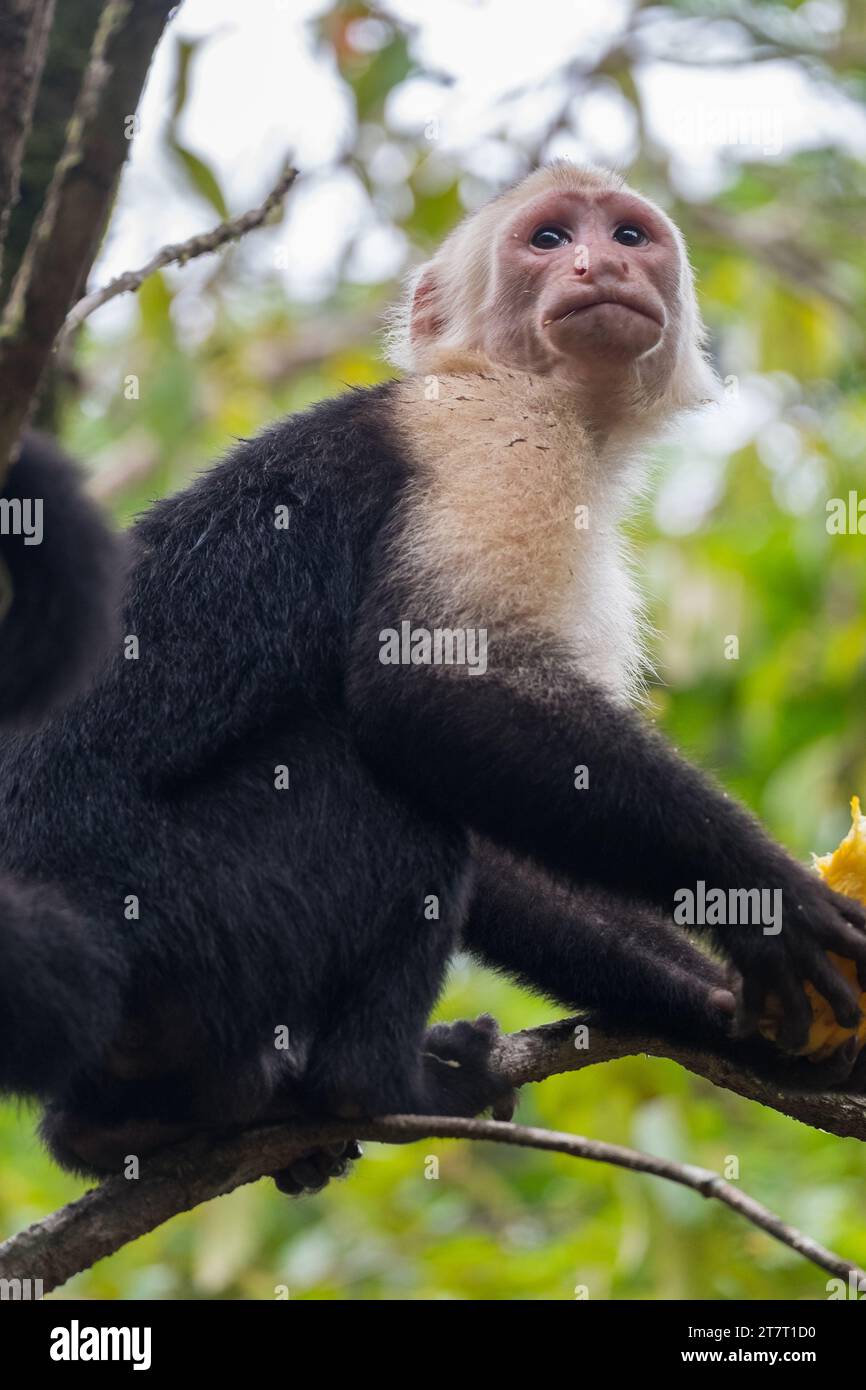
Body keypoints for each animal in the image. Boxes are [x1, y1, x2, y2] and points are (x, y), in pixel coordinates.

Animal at [2, 161, 865, 1199]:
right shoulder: (498, 439)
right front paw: (769, 902)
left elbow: (504, 839)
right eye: (547, 240)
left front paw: (725, 1009)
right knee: (380, 793)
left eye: (628, 235)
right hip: (173, 917)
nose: (599, 264)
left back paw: (129, 1126)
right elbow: (429, 701)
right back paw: (373, 1087)